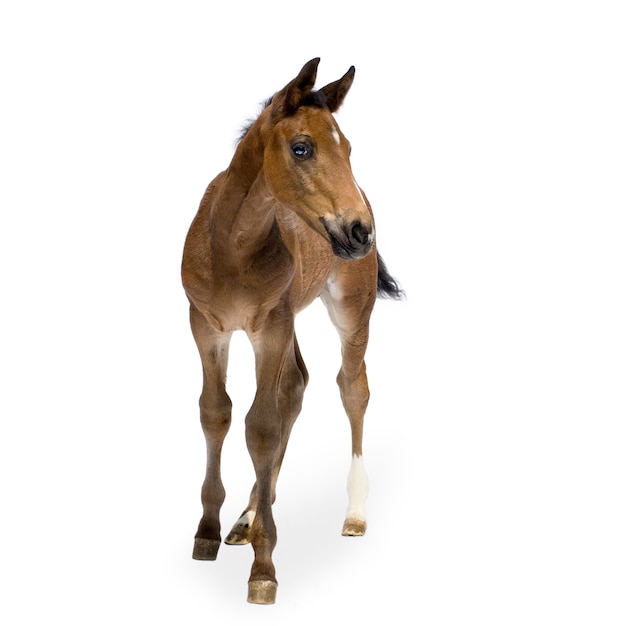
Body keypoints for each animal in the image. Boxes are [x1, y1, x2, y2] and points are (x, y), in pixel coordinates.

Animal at [183, 57, 402, 600]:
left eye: (348, 149)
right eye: (301, 147)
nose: (361, 232)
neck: (232, 246)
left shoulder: (270, 329)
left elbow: (261, 426)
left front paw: (263, 568)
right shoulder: (207, 327)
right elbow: (216, 413)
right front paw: (208, 532)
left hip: (349, 310)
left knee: (352, 389)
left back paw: (353, 513)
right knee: (297, 386)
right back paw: (247, 516)